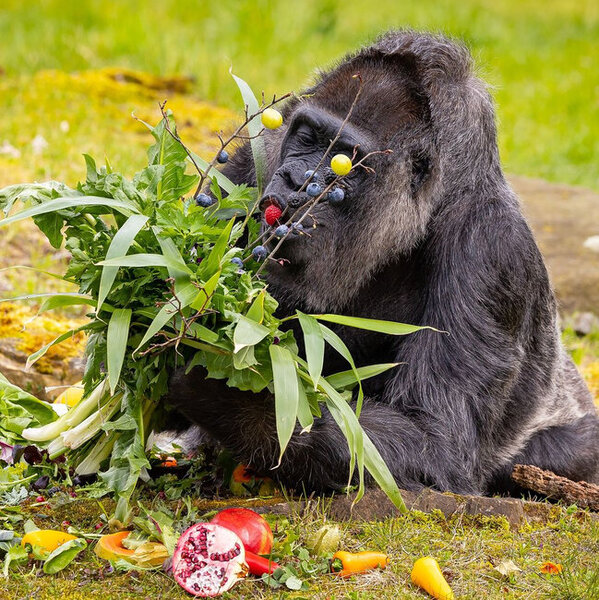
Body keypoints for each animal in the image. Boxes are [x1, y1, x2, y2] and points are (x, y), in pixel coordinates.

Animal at [165, 30, 599, 494]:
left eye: (344, 159)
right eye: (307, 137)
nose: (296, 181)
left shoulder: (492, 249)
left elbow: (436, 443)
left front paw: (227, 390)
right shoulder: (254, 157)